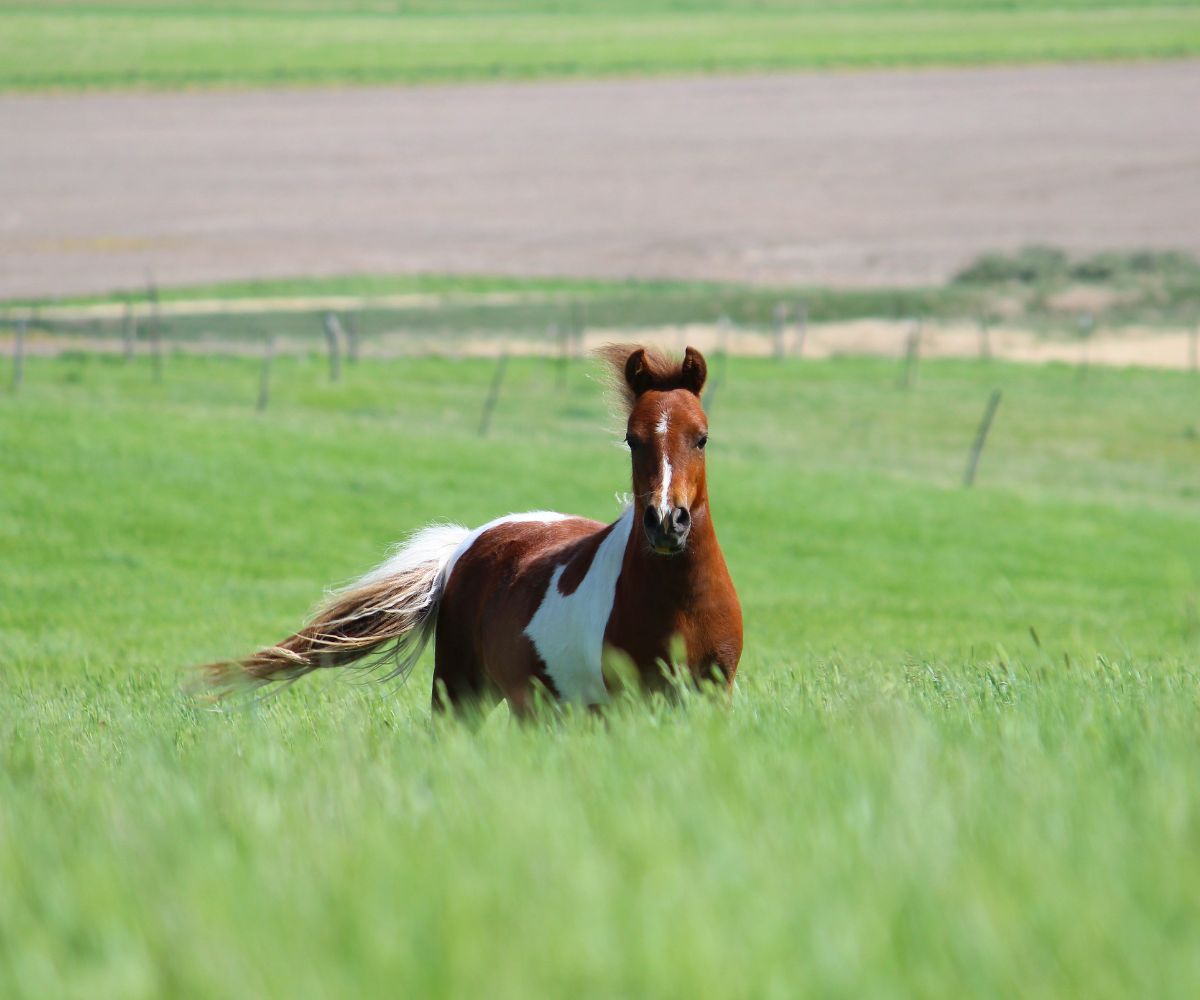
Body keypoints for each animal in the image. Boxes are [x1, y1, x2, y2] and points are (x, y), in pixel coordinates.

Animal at [204, 345, 739, 720]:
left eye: (701, 437)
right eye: (632, 439)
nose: (666, 522)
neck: (679, 605)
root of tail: (466, 543)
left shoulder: (713, 696)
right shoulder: (624, 702)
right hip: (460, 693)